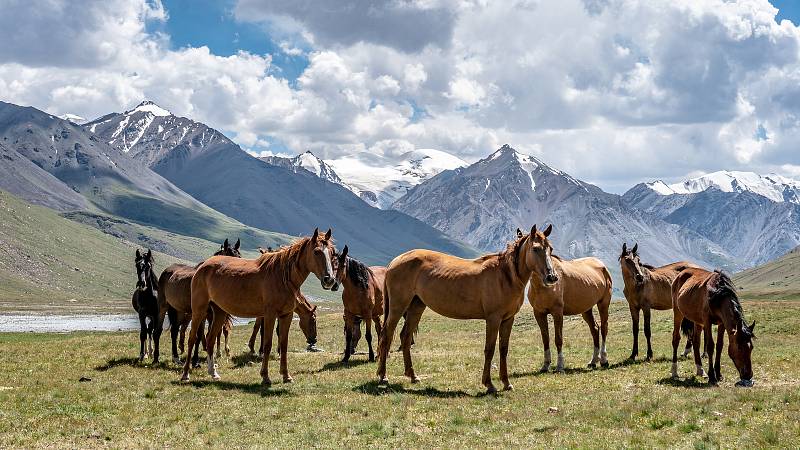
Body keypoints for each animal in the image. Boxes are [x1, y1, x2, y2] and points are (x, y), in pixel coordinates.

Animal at [181, 229, 338, 384]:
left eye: (332, 252)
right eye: (316, 252)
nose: (329, 280)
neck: (282, 276)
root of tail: (202, 266)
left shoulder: (286, 315)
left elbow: (284, 344)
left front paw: (286, 376)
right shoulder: (269, 315)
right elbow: (267, 344)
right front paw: (265, 376)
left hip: (219, 312)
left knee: (210, 339)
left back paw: (213, 373)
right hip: (199, 311)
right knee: (192, 339)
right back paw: (186, 374)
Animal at [378, 227, 540, 392]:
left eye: (547, 248)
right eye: (536, 248)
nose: (548, 277)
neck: (505, 275)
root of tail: (394, 262)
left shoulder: (508, 319)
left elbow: (503, 349)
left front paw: (506, 383)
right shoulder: (493, 319)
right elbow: (489, 349)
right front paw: (489, 384)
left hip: (416, 307)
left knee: (405, 337)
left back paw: (412, 376)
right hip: (398, 307)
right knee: (386, 335)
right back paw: (383, 376)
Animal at [520, 225, 616, 372]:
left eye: (551, 249)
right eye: (535, 248)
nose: (552, 277)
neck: (541, 287)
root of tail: (601, 265)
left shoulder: (557, 312)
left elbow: (558, 339)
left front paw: (560, 366)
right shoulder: (539, 313)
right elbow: (545, 339)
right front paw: (545, 365)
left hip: (603, 304)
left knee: (604, 328)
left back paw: (604, 360)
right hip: (586, 309)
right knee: (595, 329)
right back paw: (593, 361)